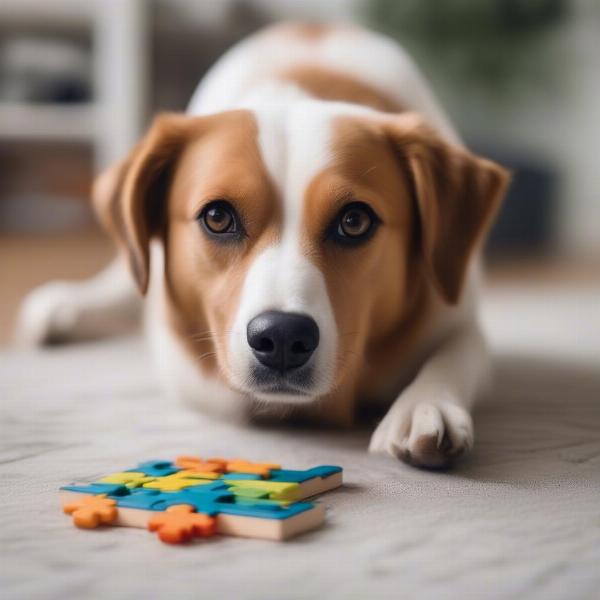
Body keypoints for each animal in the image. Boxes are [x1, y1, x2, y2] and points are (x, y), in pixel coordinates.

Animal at [17, 24, 506, 468]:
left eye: (354, 221)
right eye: (217, 217)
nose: (284, 336)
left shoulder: (459, 312)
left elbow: (456, 355)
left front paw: (425, 405)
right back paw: (66, 306)